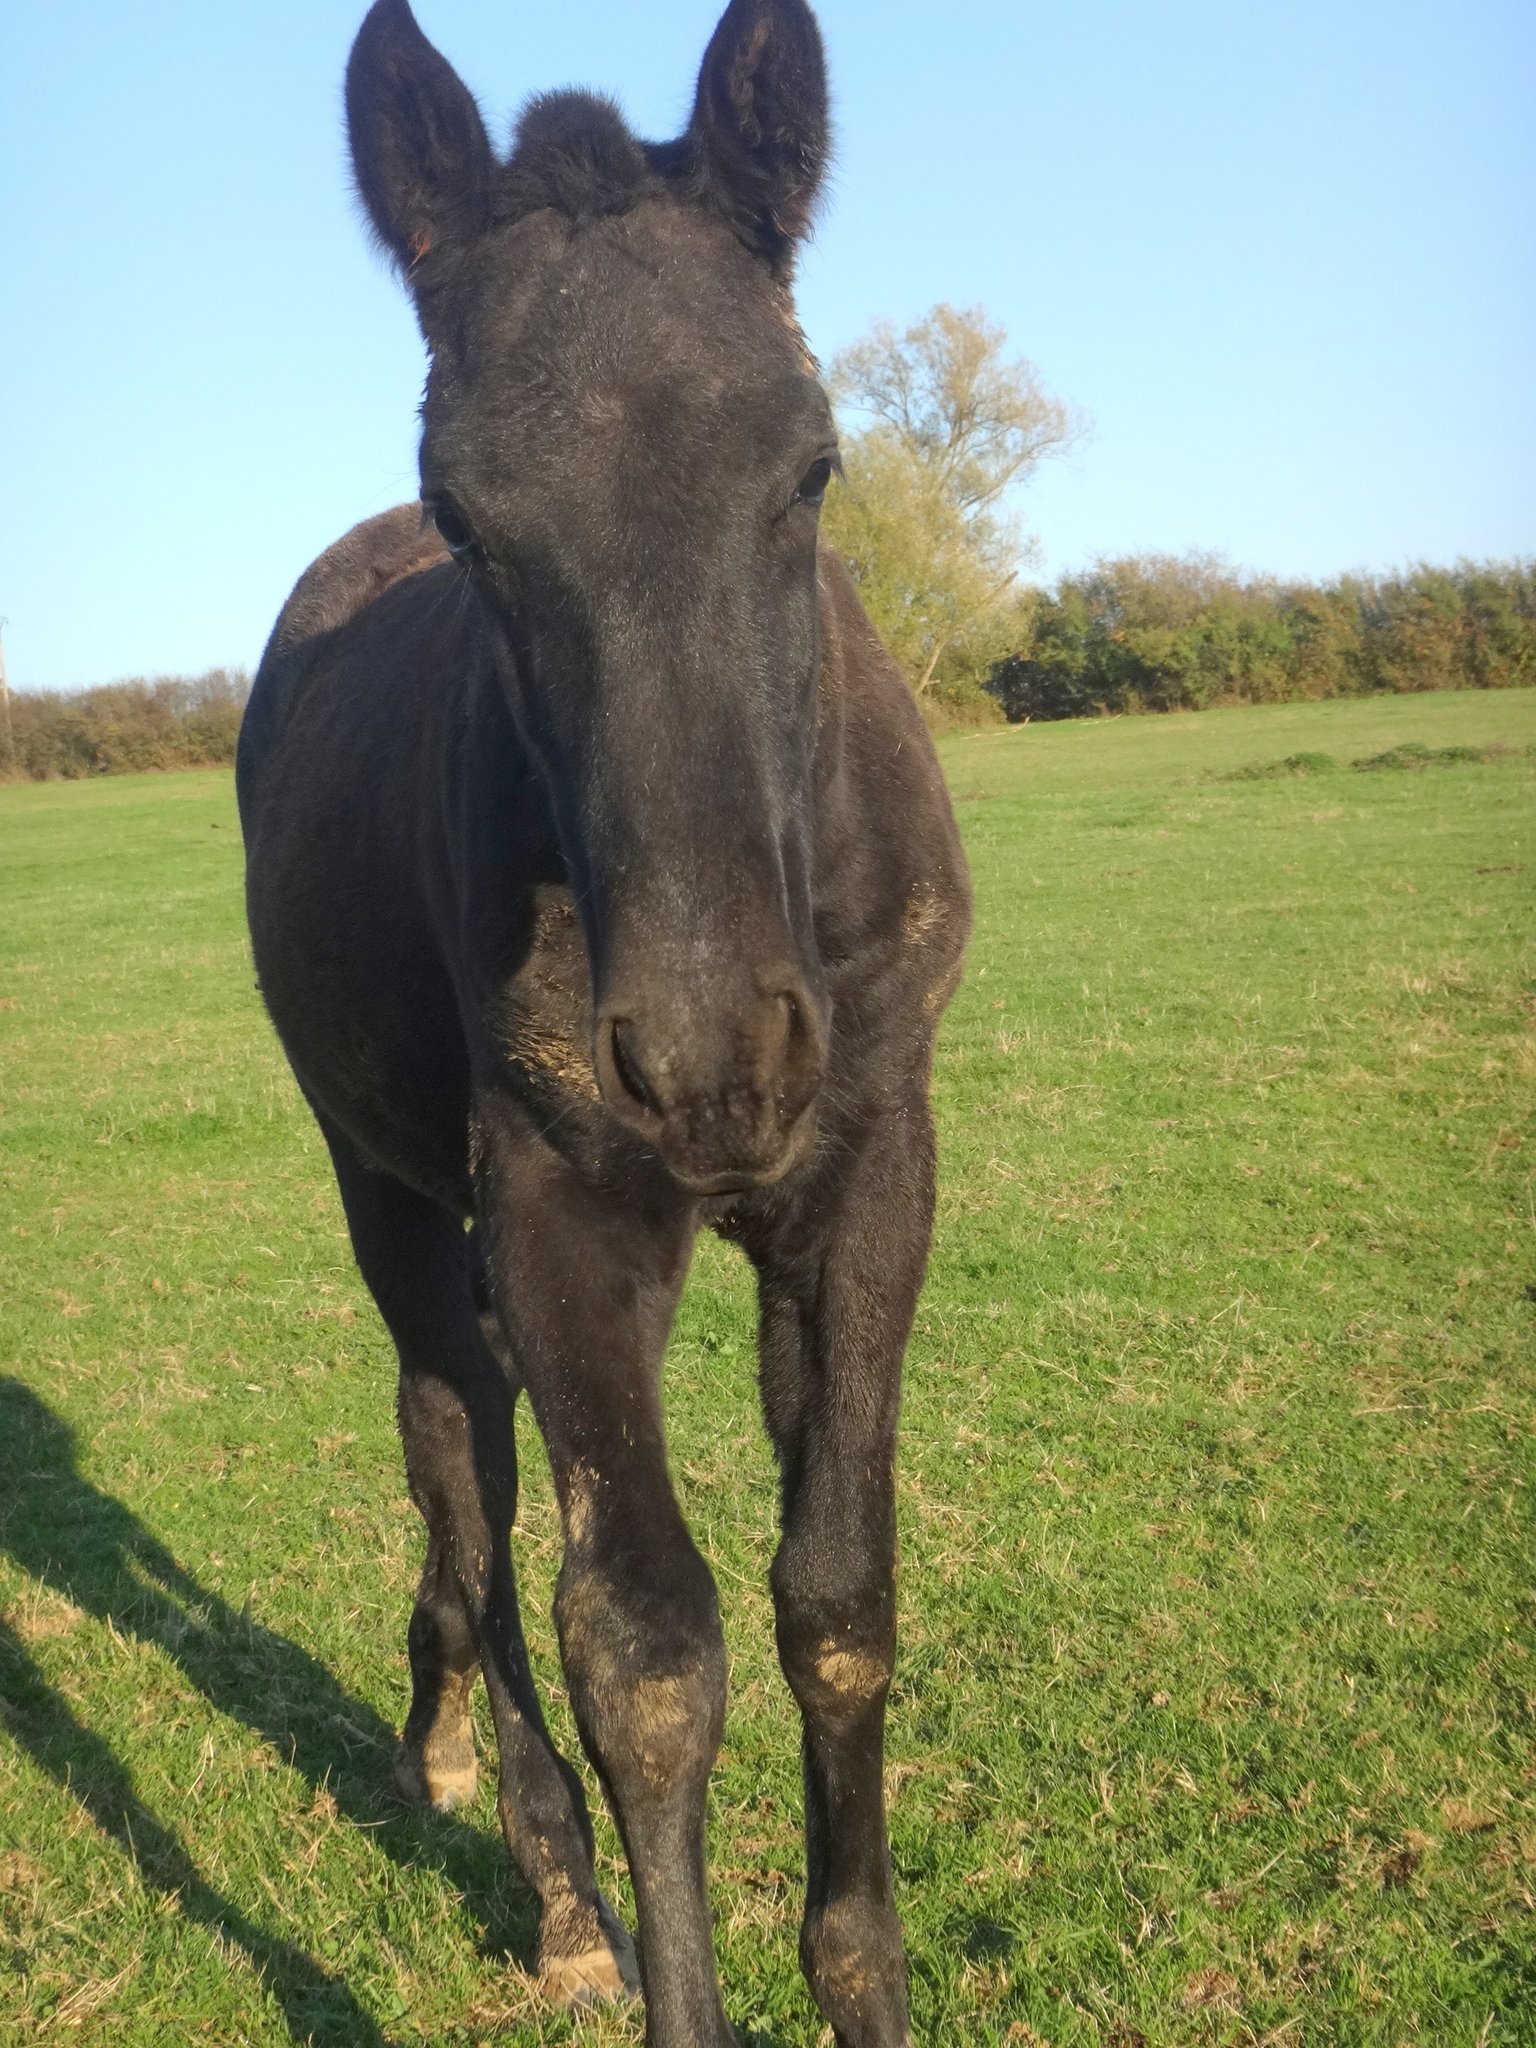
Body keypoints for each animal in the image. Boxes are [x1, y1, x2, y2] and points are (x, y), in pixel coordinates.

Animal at [236, 2, 970, 2042]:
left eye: (810, 467)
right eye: (466, 518)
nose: (711, 1055)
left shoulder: (868, 1170)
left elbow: (836, 1601)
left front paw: (861, 1979)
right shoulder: (558, 1204)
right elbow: (640, 1647)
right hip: (392, 1190)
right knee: (459, 1460)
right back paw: (551, 1877)